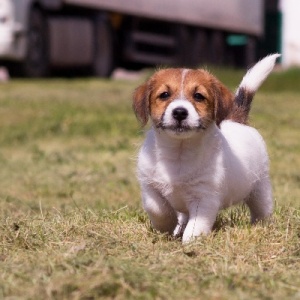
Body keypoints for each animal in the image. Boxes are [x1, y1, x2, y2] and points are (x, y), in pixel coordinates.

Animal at [134, 54, 282, 243]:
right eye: (164, 95)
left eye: (198, 96)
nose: (180, 112)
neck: (179, 152)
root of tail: (236, 120)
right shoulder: (150, 187)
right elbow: (158, 209)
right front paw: (167, 226)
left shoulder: (204, 198)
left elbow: (196, 225)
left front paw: (190, 241)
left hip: (260, 188)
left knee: (262, 210)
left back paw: (261, 227)